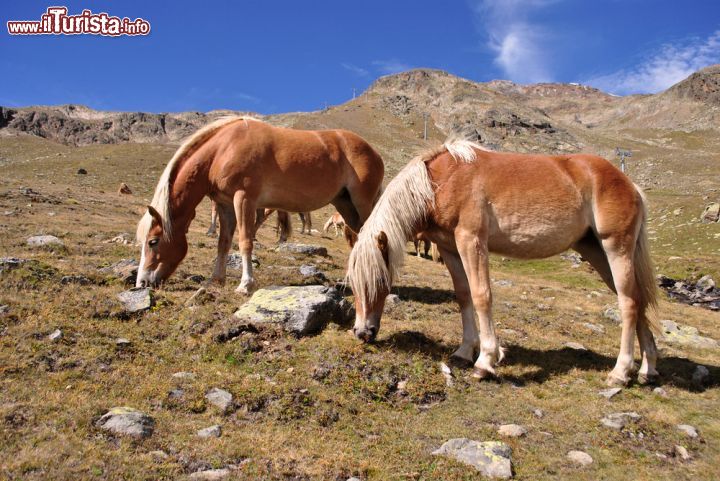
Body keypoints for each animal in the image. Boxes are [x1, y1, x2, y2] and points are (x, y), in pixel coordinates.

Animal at [134, 118, 382, 294]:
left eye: (153, 242)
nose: (142, 283)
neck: (222, 149)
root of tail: (373, 151)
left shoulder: (244, 199)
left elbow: (245, 241)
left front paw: (246, 284)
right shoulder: (225, 205)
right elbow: (223, 243)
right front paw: (216, 280)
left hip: (362, 203)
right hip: (345, 205)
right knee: (357, 239)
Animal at [348, 139, 660, 386]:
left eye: (378, 281)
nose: (362, 332)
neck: (442, 181)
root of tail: (629, 184)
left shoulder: (471, 240)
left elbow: (481, 295)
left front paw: (485, 361)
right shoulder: (449, 249)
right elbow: (464, 296)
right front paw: (464, 352)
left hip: (616, 248)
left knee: (628, 303)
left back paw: (620, 372)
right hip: (596, 252)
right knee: (638, 300)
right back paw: (647, 370)